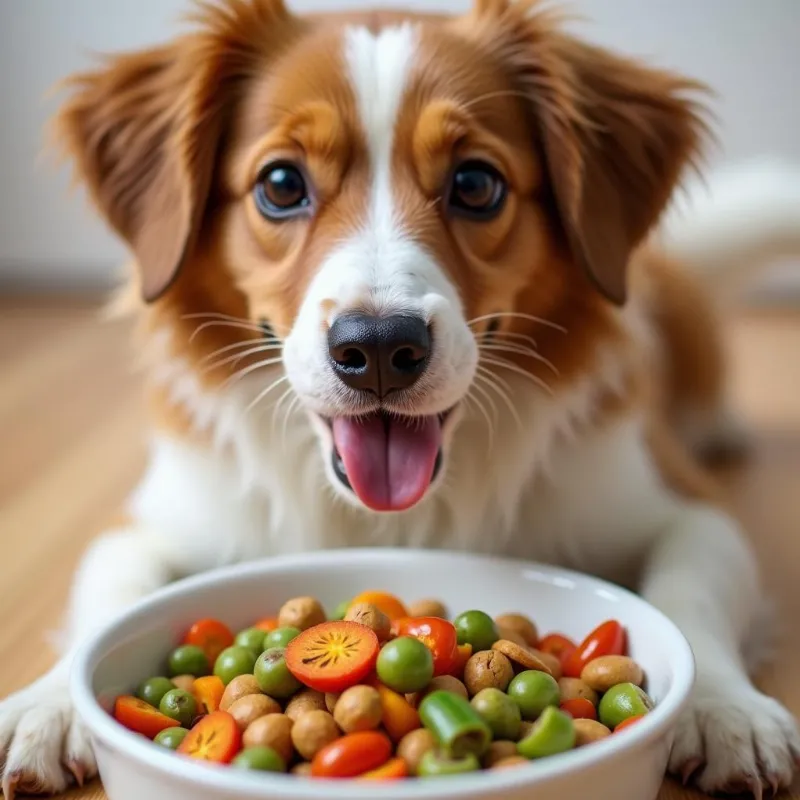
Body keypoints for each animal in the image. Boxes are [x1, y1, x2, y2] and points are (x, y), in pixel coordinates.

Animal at [1, 0, 800, 796]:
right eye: (281, 184)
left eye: (476, 184)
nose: (380, 348)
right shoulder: (151, 519)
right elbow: (111, 589)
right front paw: (47, 702)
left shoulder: (685, 508)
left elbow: (689, 592)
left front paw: (725, 707)